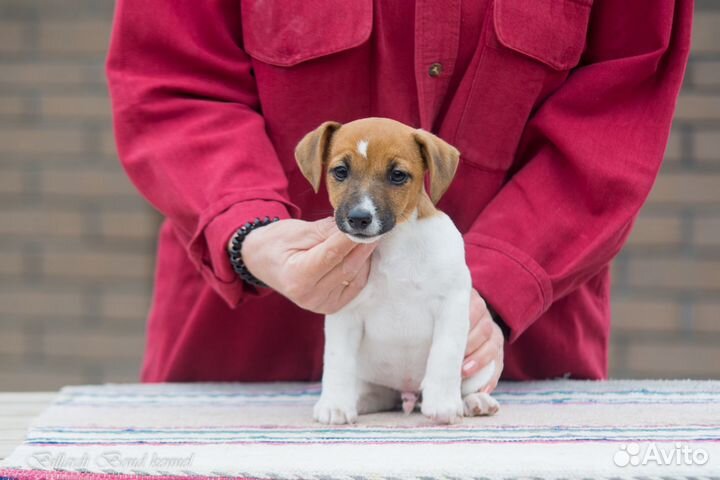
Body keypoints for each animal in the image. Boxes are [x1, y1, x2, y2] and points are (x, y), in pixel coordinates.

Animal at [296, 118, 498, 426]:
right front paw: (335, 405)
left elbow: (445, 355)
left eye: (398, 175)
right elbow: (337, 361)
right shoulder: (345, 315)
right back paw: (360, 401)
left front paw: (442, 404)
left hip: (482, 365)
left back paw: (474, 401)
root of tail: (408, 390)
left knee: (469, 385)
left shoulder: (452, 305)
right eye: (340, 171)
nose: (359, 218)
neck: (393, 244)